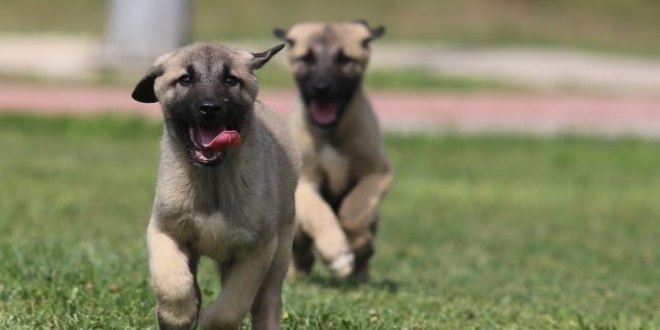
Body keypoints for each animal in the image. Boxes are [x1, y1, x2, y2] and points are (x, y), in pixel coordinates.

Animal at [132, 42, 302, 330]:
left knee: (267, 302)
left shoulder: (258, 249)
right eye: (185, 79)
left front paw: (209, 319)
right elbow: (173, 285)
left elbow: (231, 307)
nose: (209, 108)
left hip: (279, 253)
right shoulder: (165, 231)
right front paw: (179, 315)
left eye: (231, 80)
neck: (213, 180)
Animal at [274, 20, 392, 282]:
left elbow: (354, 210)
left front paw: (359, 244)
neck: (331, 132)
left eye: (345, 59)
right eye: (307, 58)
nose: (321, 88)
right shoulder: (304, 181)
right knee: (299, 243)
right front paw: (337, 254)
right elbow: (320, 212)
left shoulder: (378, 173)